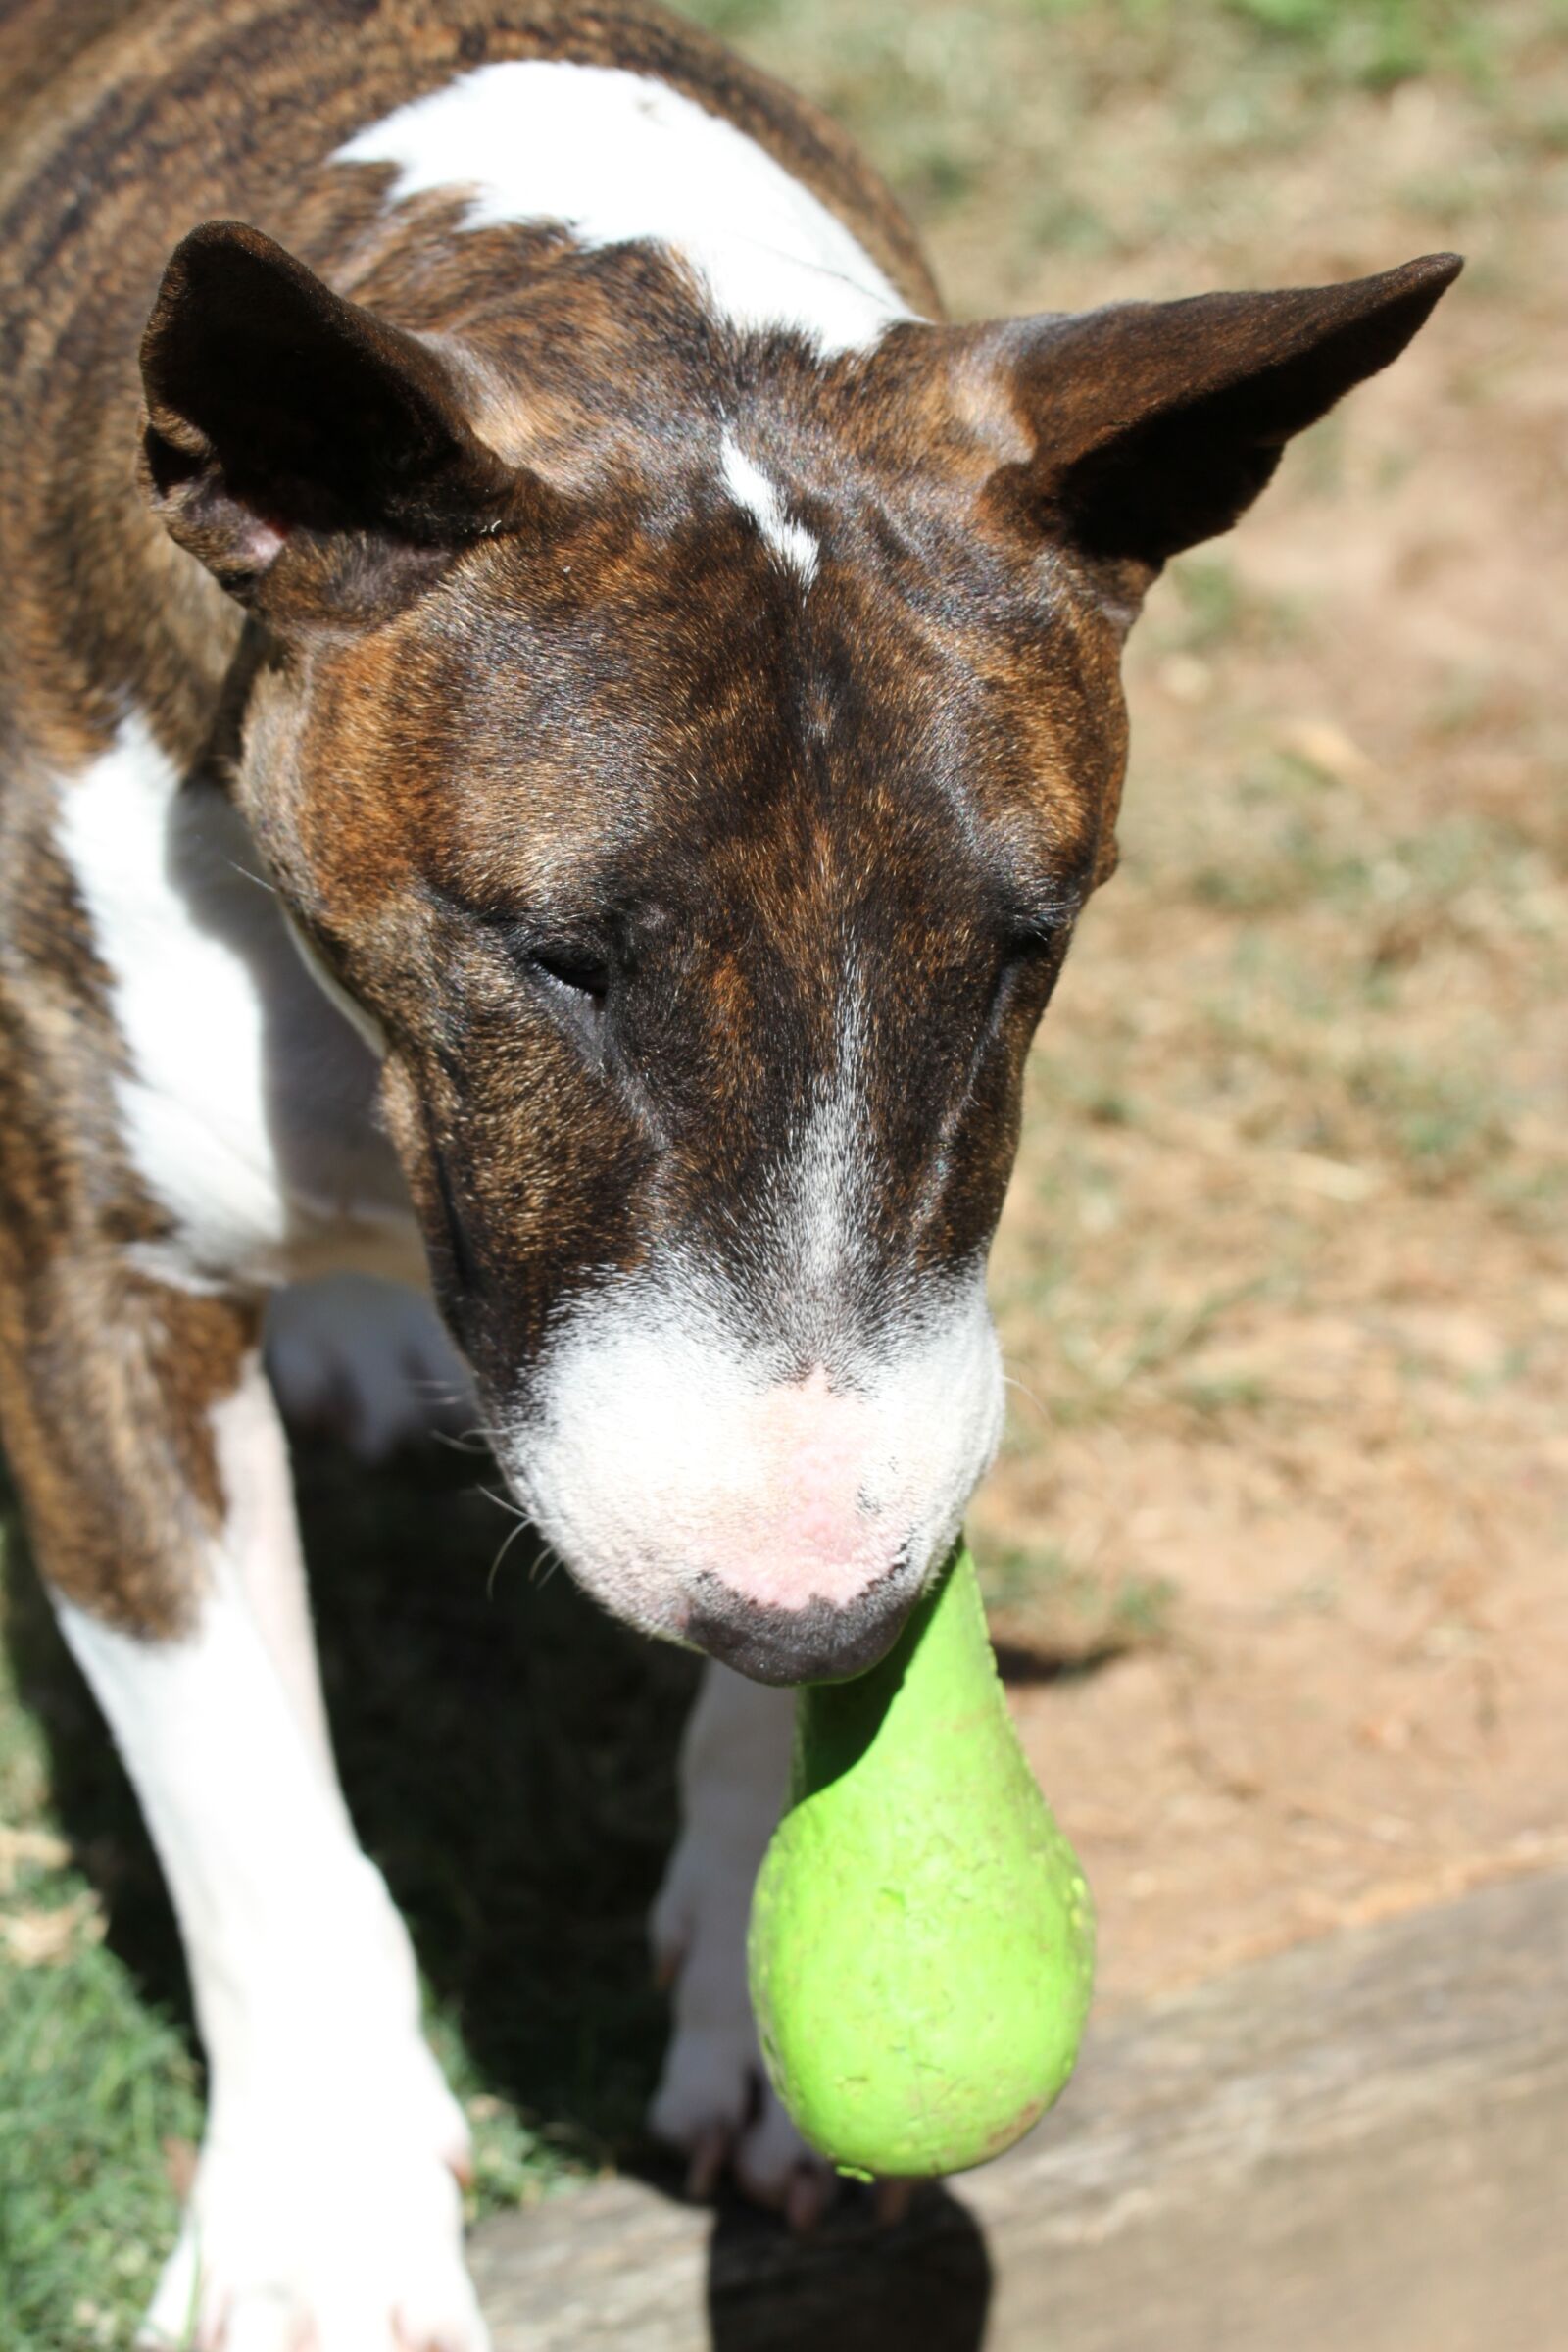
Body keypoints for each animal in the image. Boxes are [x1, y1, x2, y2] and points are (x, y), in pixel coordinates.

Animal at [0, 0, 1457, 2342]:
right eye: (558, 957)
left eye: (1025, 948)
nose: (808, 1598)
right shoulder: (92, 1294)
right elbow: (247, 1805)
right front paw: (326, 2228)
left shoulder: (925, 1304)